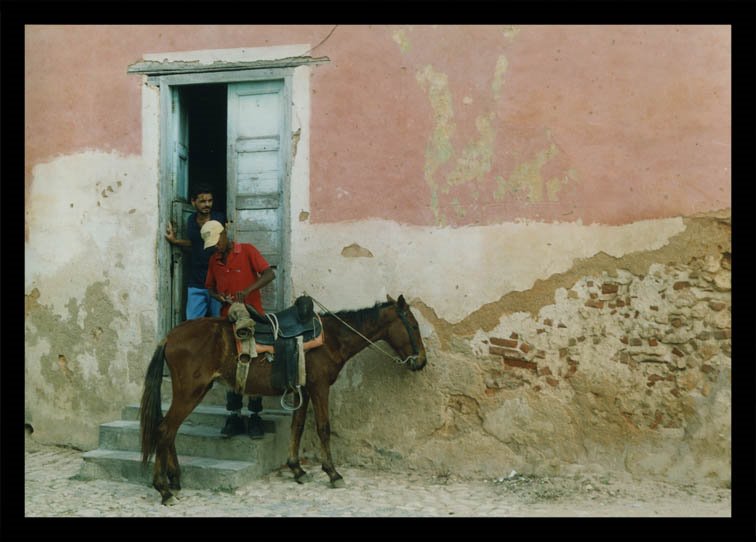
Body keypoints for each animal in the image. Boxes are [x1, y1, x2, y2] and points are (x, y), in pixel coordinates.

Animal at [140, 298, 426, 506]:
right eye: (413, 326)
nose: (421, 361)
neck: (332, 338)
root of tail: (169, 337)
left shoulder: (304, 389)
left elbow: (297, 427)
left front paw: (297, 470)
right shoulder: (320, 388)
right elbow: (323, 427)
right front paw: (333, 473)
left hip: (193, 391)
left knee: (169, 430)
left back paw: (175, 481)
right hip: (191, 391)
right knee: (164, 430)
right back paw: (164, 490)